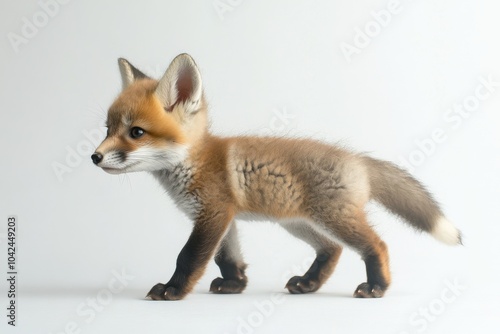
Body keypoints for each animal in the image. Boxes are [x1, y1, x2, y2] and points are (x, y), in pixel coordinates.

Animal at [93, 54, 460, 300]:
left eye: (136, 132)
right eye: (108, 129)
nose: (94, 157)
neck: (194, 162)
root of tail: (359, 159)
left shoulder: (213, 213)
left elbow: (189, 256)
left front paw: (172, 289)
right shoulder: (224, 217)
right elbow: (227, 257)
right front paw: (235, 285)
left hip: (333, 218)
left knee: (377, 245)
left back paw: (376, 286)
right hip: (299, 223)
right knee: (332, 250)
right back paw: (309, 283)